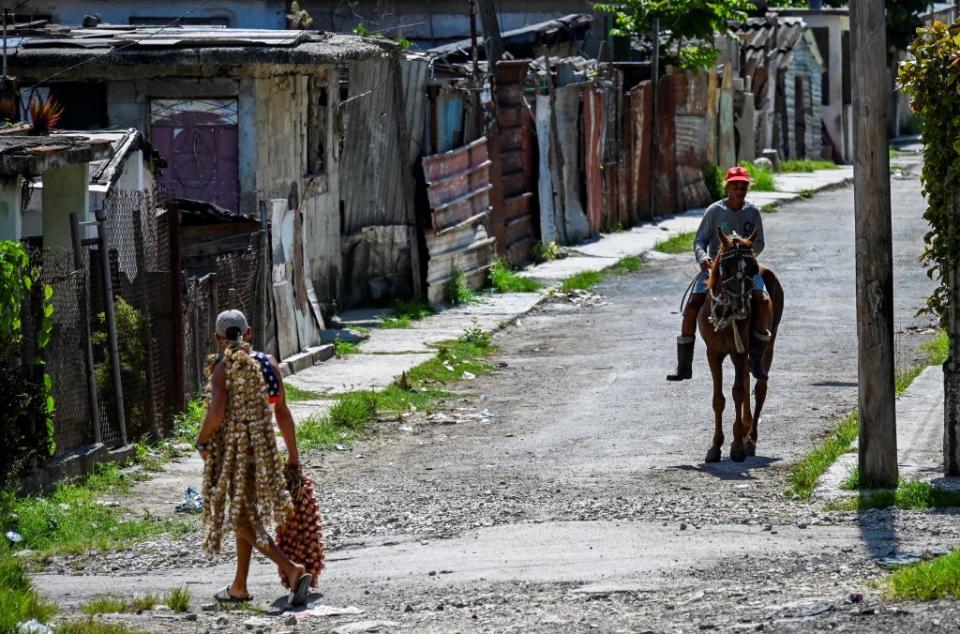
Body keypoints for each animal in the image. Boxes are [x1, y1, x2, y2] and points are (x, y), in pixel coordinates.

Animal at [700, 227, 784, 460]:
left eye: (752, 267)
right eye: (725, 267)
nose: (742, 308)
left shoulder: (739, 352)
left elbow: (737, 391)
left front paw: (737, 446)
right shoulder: (713, 353)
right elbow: (718, 399)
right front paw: (715, 446)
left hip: (768, 342)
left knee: (758, 385)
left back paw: (750, 439)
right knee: (747, 380)